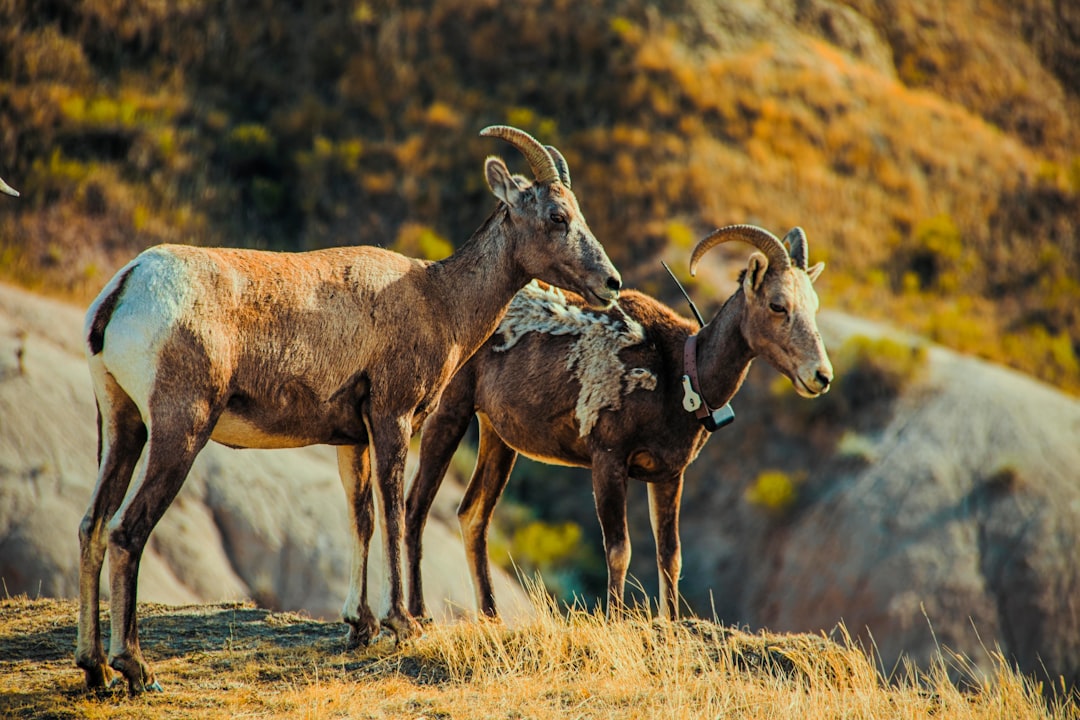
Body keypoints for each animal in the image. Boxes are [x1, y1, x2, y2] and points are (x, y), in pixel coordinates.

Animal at [76, 124, 622, 690]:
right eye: (556, 217)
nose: (611, 283)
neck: (438, 300)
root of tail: (126, 287)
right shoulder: (391, 419)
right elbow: (394, 513)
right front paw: (403, 623)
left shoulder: (351, 440)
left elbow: (361, 519)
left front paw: (360, 626)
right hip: (179, 432)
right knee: (126, 531)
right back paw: (135, 668)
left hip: (121, 425)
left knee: (92, 525)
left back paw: (94, 668)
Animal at [401, 223, 829, 621]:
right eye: (777, 305)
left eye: (813, 306)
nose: (821, 376)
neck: (679, 375)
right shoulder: (608, 461)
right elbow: (619, 549)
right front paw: (615, 618)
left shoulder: (668, 476)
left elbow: (670, 554)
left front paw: (669, 623)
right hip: (450, 413)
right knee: (416, 505)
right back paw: (418, 613)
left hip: (498, 439)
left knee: (473, 515)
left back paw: (492, 617)